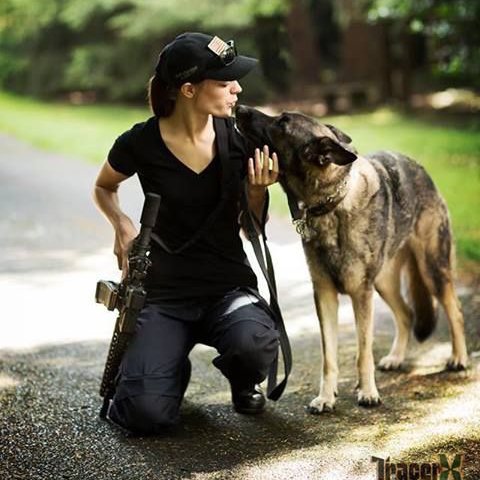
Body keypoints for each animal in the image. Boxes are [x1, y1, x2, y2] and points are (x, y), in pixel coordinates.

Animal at [236, 105, 468, 412]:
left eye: (282, 122)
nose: (238, 108)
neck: (332, 205)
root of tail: (420, 169)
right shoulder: (325, 295)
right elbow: (329, 357)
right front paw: (326, 397)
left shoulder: (361, 295)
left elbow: (362, 352)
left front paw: (367, 391)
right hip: (384, 283)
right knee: (406, 314)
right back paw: (396, 357)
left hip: (432, 270)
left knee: (455, 310)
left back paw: (459, 357)